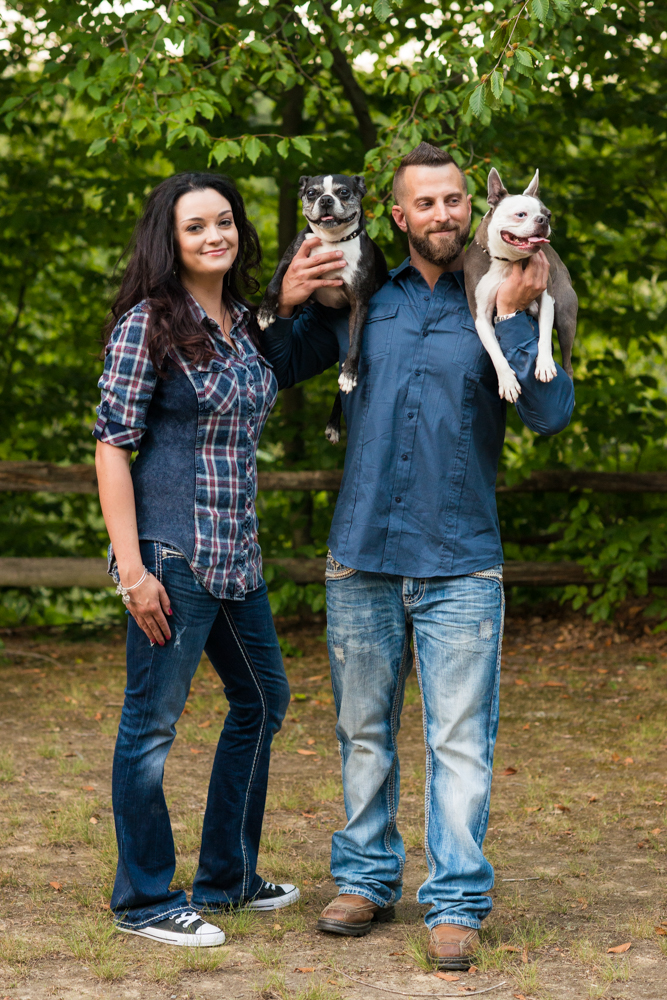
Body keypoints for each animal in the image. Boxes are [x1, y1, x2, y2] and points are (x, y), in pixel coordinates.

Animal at [258, 174, 388, 444]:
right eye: (311, 193)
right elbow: (274, 284)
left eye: (344, 192)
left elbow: (356, 343)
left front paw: (350, 374)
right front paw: (265, 312)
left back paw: (333, 424)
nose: (326, 200)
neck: (332, 241)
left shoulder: (359, 303)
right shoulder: (290, 260)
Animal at [464, 168, 580, 402]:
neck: (507, 261)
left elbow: (544, 336)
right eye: (521, 215)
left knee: (568, 362)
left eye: (549, 214)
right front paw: (507, 382)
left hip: (565, 316)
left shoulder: (547, 299)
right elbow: (495, 352)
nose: (543, 220)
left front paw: (544, 365)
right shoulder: (481, 317)